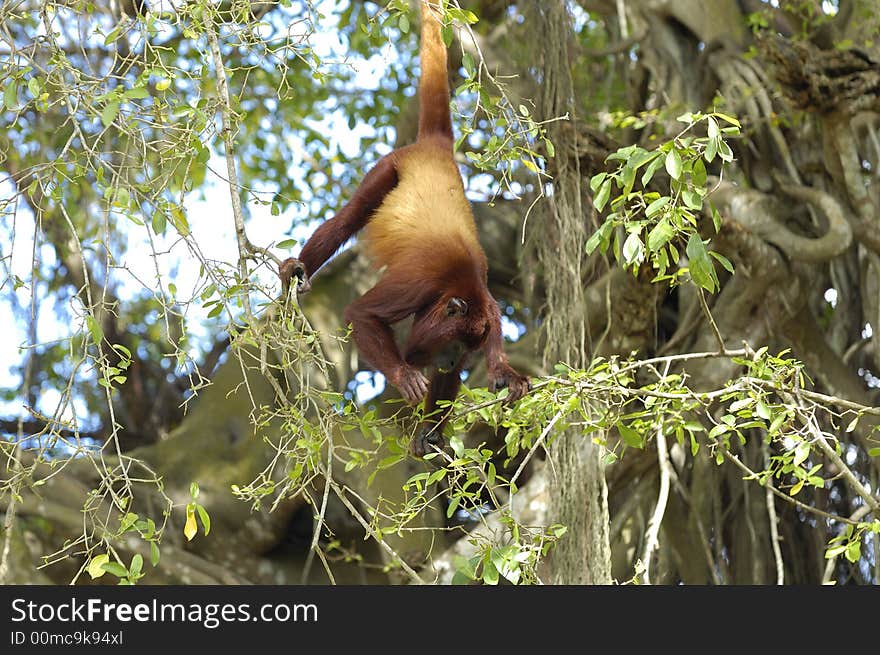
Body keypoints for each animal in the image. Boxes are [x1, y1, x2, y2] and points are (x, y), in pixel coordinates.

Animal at [282, 0, 528, 456]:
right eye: (452, 345)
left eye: (462, 353)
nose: (449, 361)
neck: (459, 286)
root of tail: (436, 148)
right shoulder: (420, 280)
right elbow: (361, 313)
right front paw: (402, 375)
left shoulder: (491, 311)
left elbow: (485, 366)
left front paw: (501, 380)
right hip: (391, 166)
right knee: (353, 214)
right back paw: (295, 268)